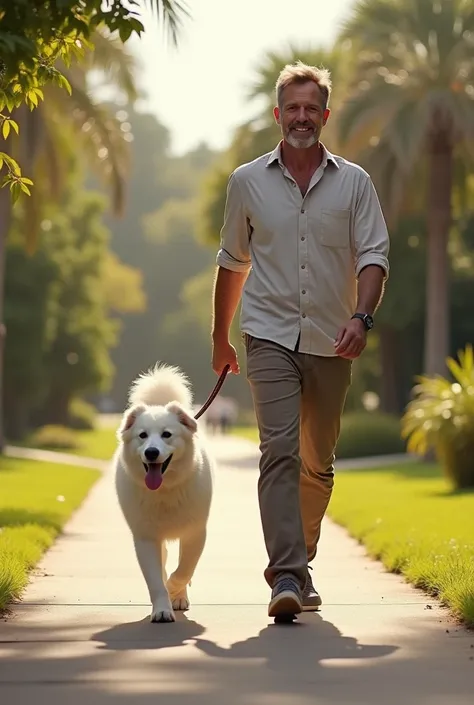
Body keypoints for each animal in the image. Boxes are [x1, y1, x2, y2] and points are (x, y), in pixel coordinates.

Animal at [113, 364, 213, 620]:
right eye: (142, 435)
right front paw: (162, 609)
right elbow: (156, 579)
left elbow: (184, 570)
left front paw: (174, 593)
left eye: (167, 434)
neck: (164, 490)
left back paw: (179, 596)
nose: (151, 452)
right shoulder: (146, 537)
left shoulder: (195, 532)